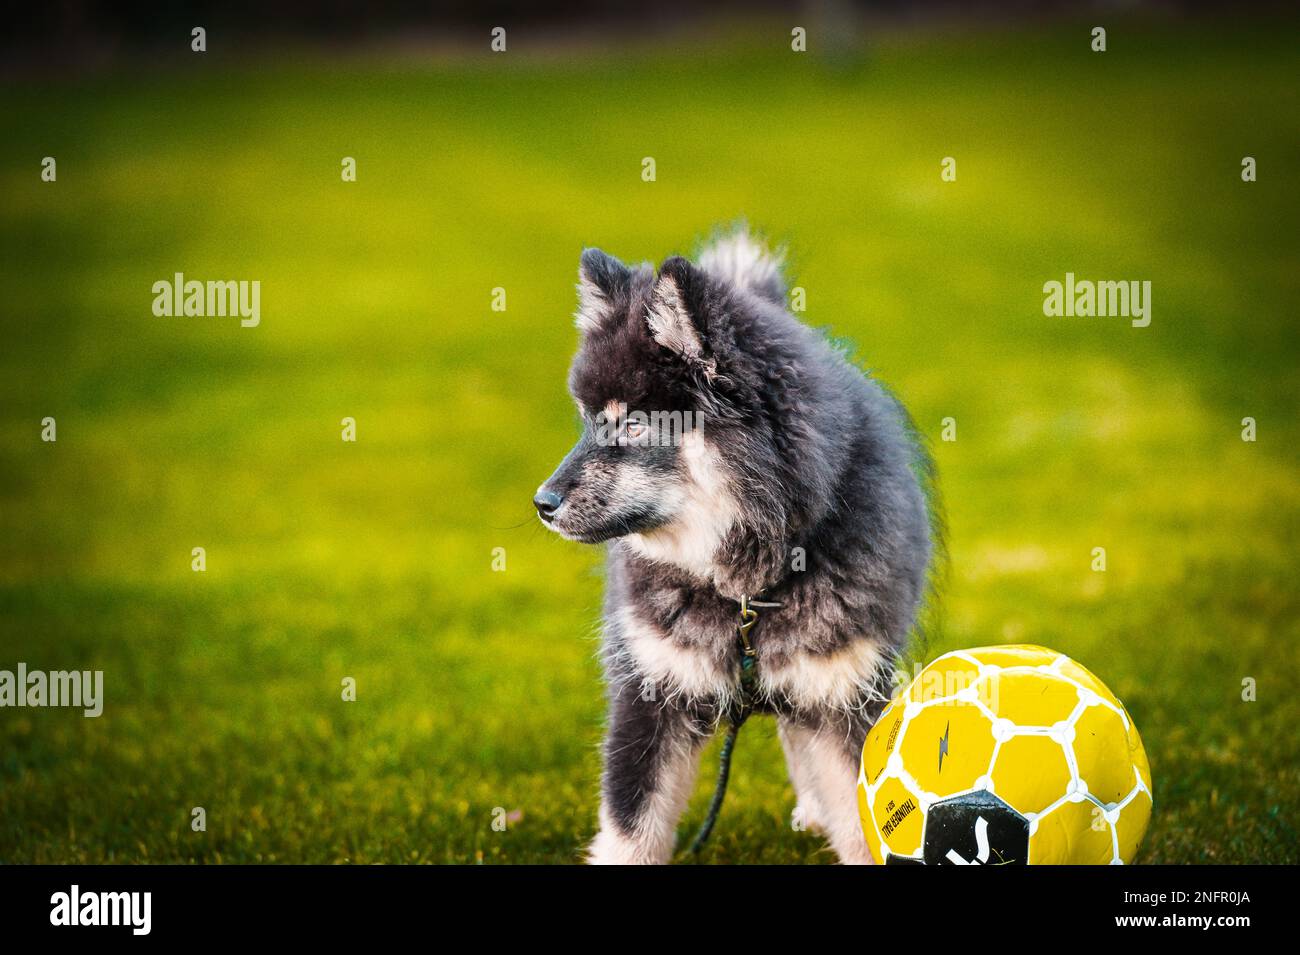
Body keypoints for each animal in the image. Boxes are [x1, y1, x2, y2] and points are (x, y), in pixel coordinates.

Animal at [533, 227, 941, 862]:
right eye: (587, 419)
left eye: (632, 425)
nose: (542, 502)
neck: (749, 587)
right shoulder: (654, 692)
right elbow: (631, 827)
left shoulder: (842, 692)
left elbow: (865, 822)